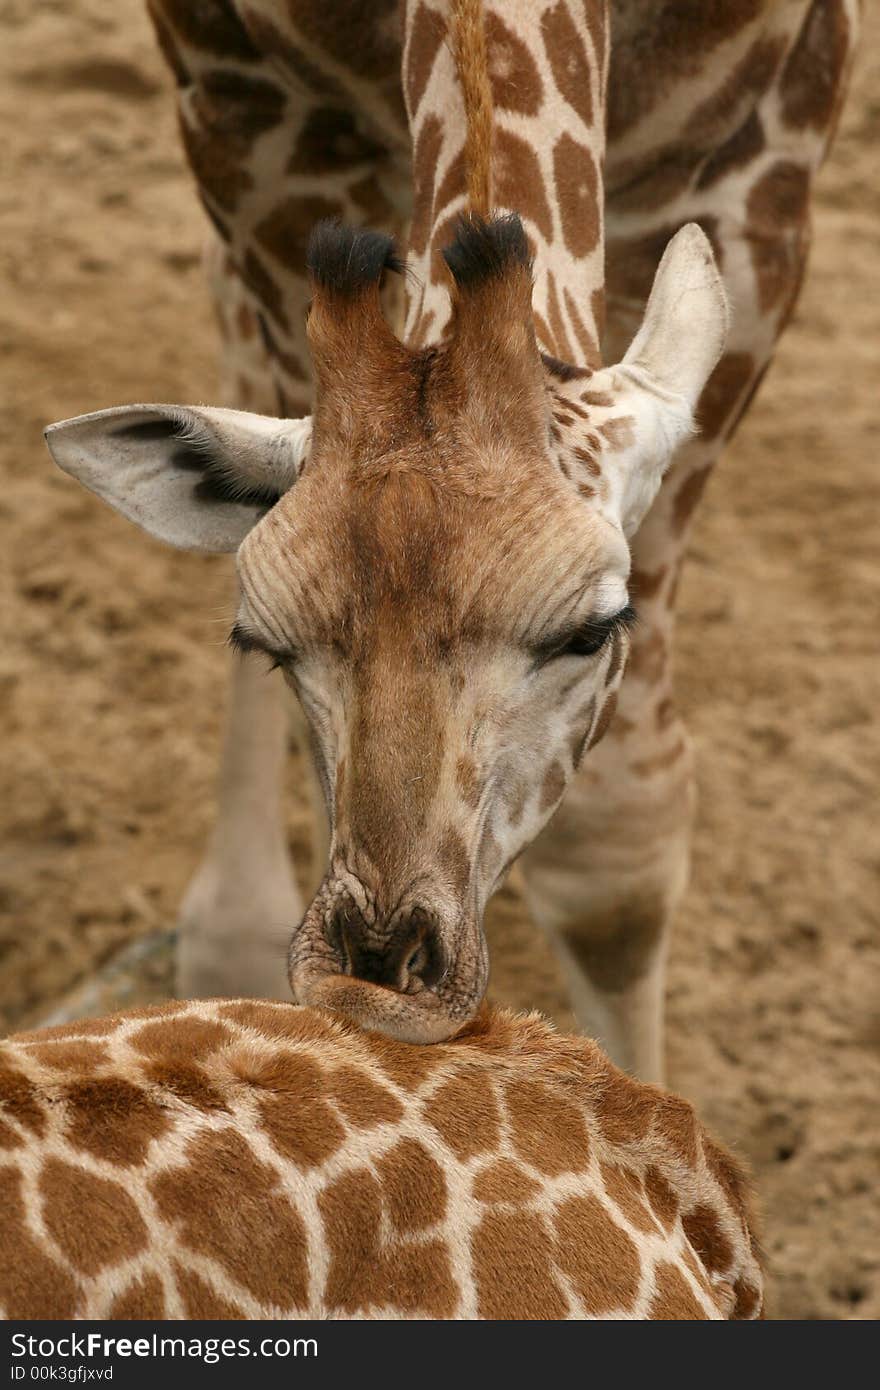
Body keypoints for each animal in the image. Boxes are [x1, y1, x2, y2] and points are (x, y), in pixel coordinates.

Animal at [42, 0, 856, 1073]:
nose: (382, 977)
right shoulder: (246, 112)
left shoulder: (763, 152)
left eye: (590, 632)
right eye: (266, 645)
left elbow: (617, 854)